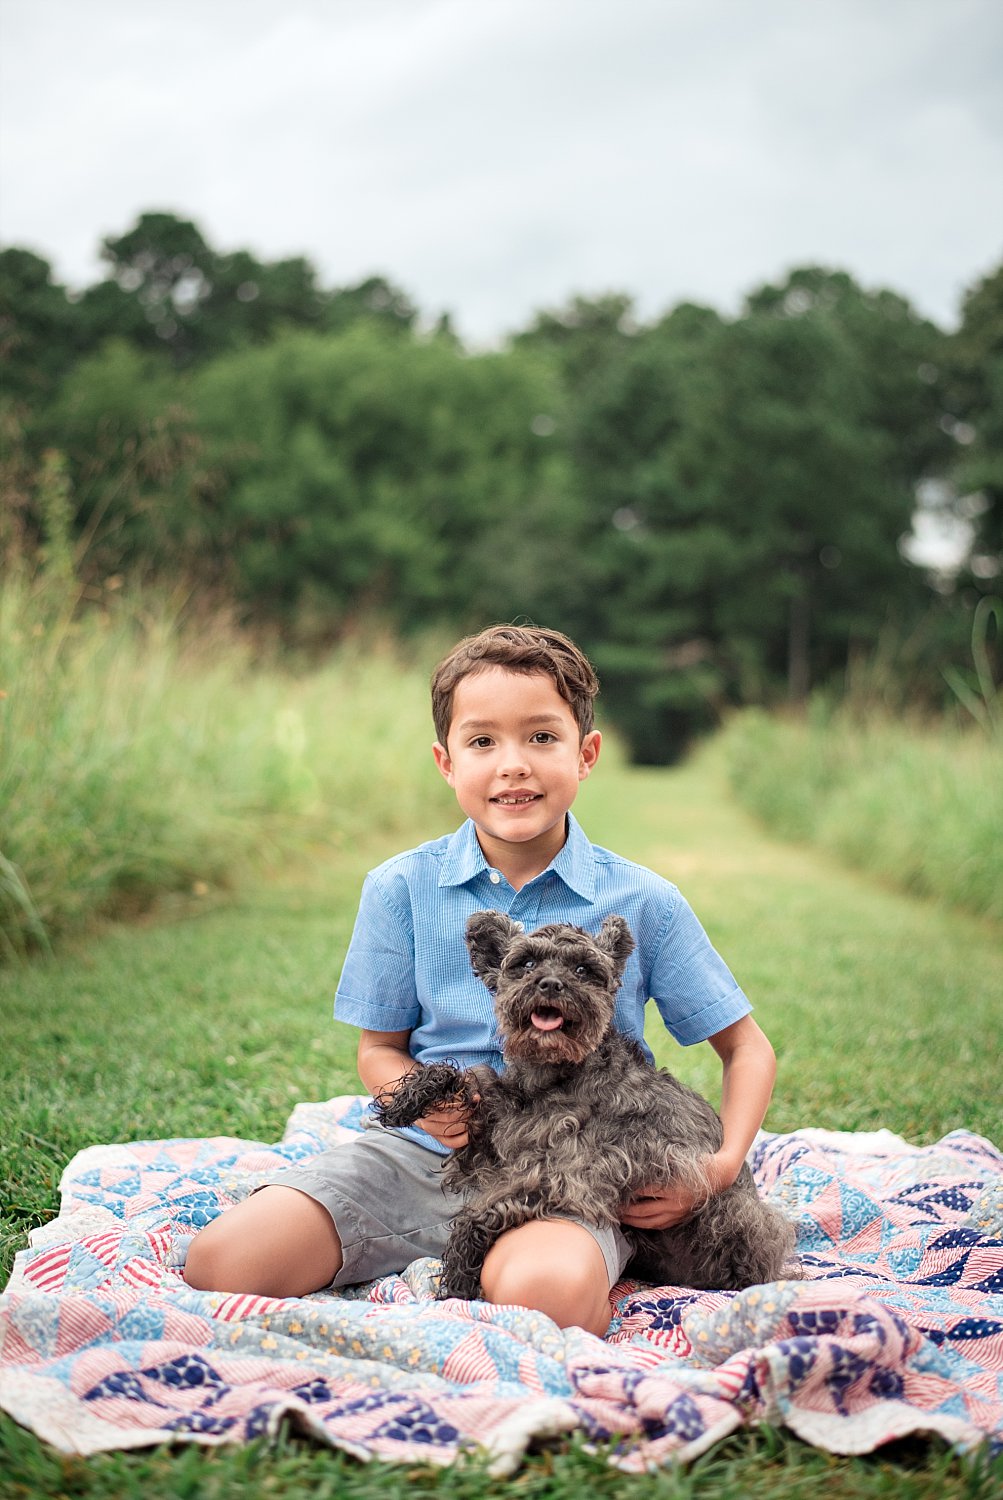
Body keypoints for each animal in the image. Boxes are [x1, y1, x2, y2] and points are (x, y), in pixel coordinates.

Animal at [371, 906, 791, 1308]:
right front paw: (408, 1102)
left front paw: (458, 1272)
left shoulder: (569, 1174)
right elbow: (467, 1075)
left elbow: (483, 1210)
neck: (552, 1077)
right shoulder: (495, 1137)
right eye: (526, 963)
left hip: (733, 1217)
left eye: (583, 969)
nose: (550, 984)